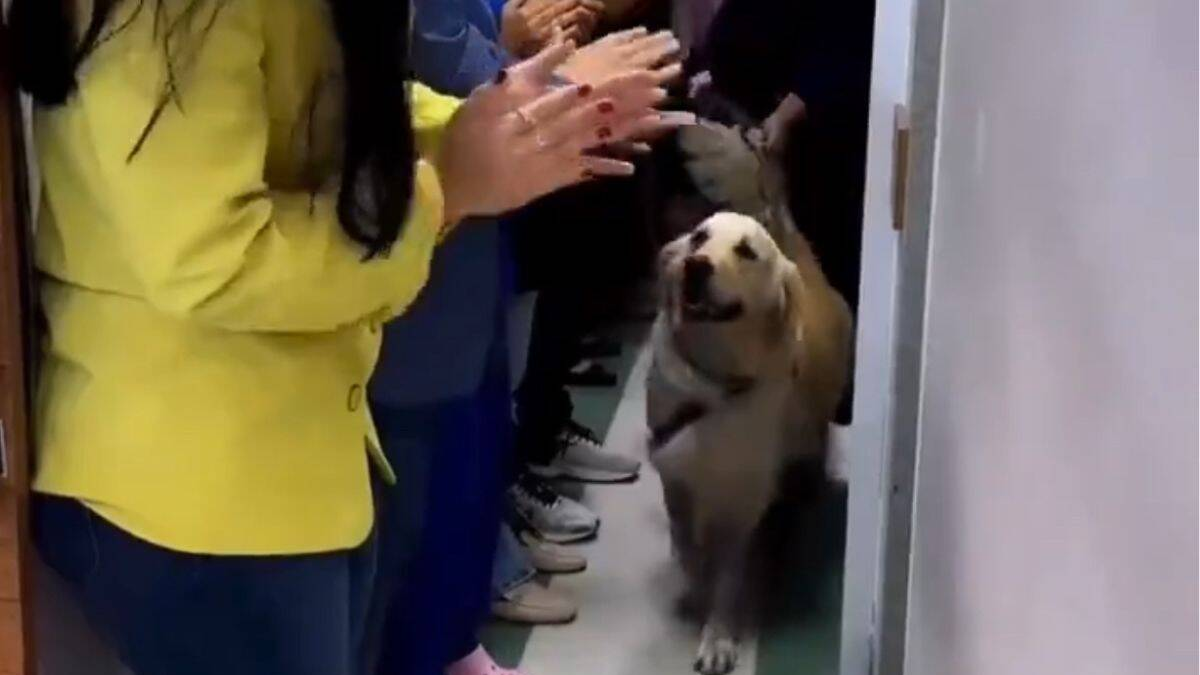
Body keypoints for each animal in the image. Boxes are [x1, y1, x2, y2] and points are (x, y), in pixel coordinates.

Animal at [646, 96, 852, 675]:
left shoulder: (746, 499)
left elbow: (730, 577)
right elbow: (688, 548)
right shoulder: (675, 473)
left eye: (746, 252)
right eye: (698, 238)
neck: (715, 381)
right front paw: (693, 589)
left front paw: (719, 636)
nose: (694, 266)